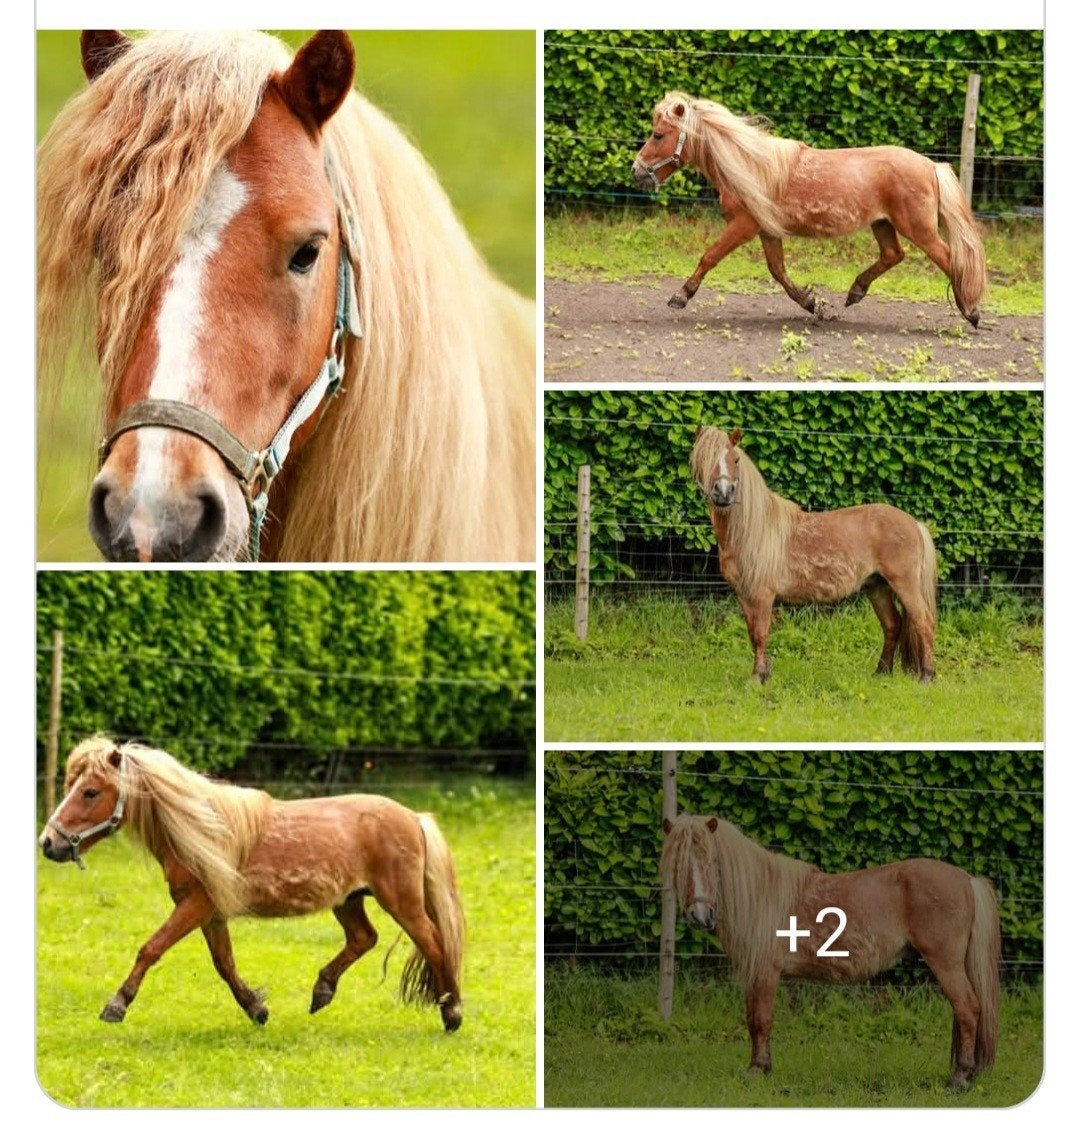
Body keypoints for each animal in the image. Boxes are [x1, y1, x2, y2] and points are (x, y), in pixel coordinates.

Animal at [38, 737, 465, 1032]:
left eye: (90, 792)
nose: (48, 843)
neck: (201, 831)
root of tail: (414, 818)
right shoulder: (211, 913)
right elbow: (224, 964)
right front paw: (256, 1008)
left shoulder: (195, 906)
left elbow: (151, 949)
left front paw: (116, 1005)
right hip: (348, 900)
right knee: (364, 938)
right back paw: (322, 992)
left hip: (400, 900)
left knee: (433, 942)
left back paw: (452, 1012)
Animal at [631, 91, 987, 327]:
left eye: (658, 135)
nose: (636, 172)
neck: (751, 166)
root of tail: (931, 165)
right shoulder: (766, 229)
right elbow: (778, 271)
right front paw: (813, 304)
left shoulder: (744, 226)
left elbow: (710, 256)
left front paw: (679, 297)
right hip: (883, 224)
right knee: (893, 255)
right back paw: (854, 293)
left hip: (918, 228)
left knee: (950, 259)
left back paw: (971, 312)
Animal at [660, 813, 1000, 1090]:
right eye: (677, 864)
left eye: (712, 861)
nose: (700, 916)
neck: (761, 896)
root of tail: (967, 879)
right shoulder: (753, 975)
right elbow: (751, 1018)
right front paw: (760, 1066)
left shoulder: (766, 972)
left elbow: (761, 1019)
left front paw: (758, 1070)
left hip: (946, 963)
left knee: (968, 1009)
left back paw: (960, 1078)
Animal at [690, 426, 938, 682]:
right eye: (703, 458)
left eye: (736, 460)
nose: (723, 493)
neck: (751, 530)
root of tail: (915, 523)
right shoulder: (743, 594)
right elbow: (752, 634)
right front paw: (764, 673)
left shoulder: (762, 594)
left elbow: (760, 633)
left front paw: (757, 678)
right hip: (877, 587)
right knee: (892, 625)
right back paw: (881, 672)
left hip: (905, 584)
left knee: (924, 622)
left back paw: (927, 677)